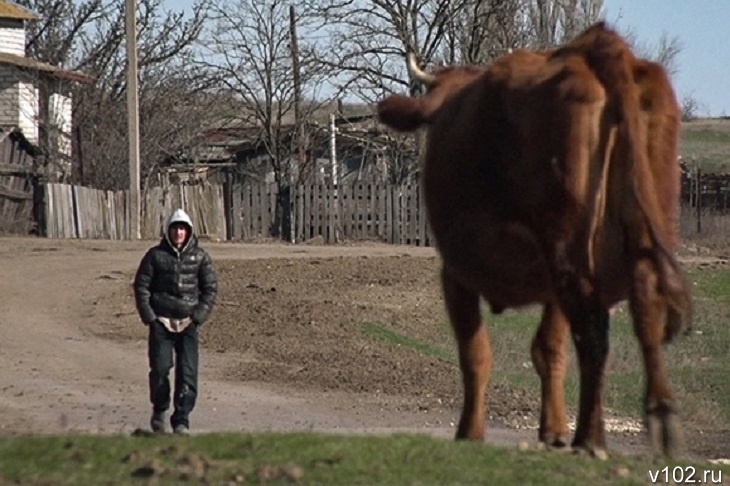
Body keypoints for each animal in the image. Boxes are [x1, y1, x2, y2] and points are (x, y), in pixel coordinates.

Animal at [378, 21, 692, 456]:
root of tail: (596, 47)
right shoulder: (549, 286)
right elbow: (548, 350)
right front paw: (554, 429)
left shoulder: (455, 274)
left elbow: (475, 353)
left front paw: (470, 431)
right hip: (636, 233)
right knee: (644, 306)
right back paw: (659, 415)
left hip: (568, 249)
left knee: (593, 334)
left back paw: (590, 437)